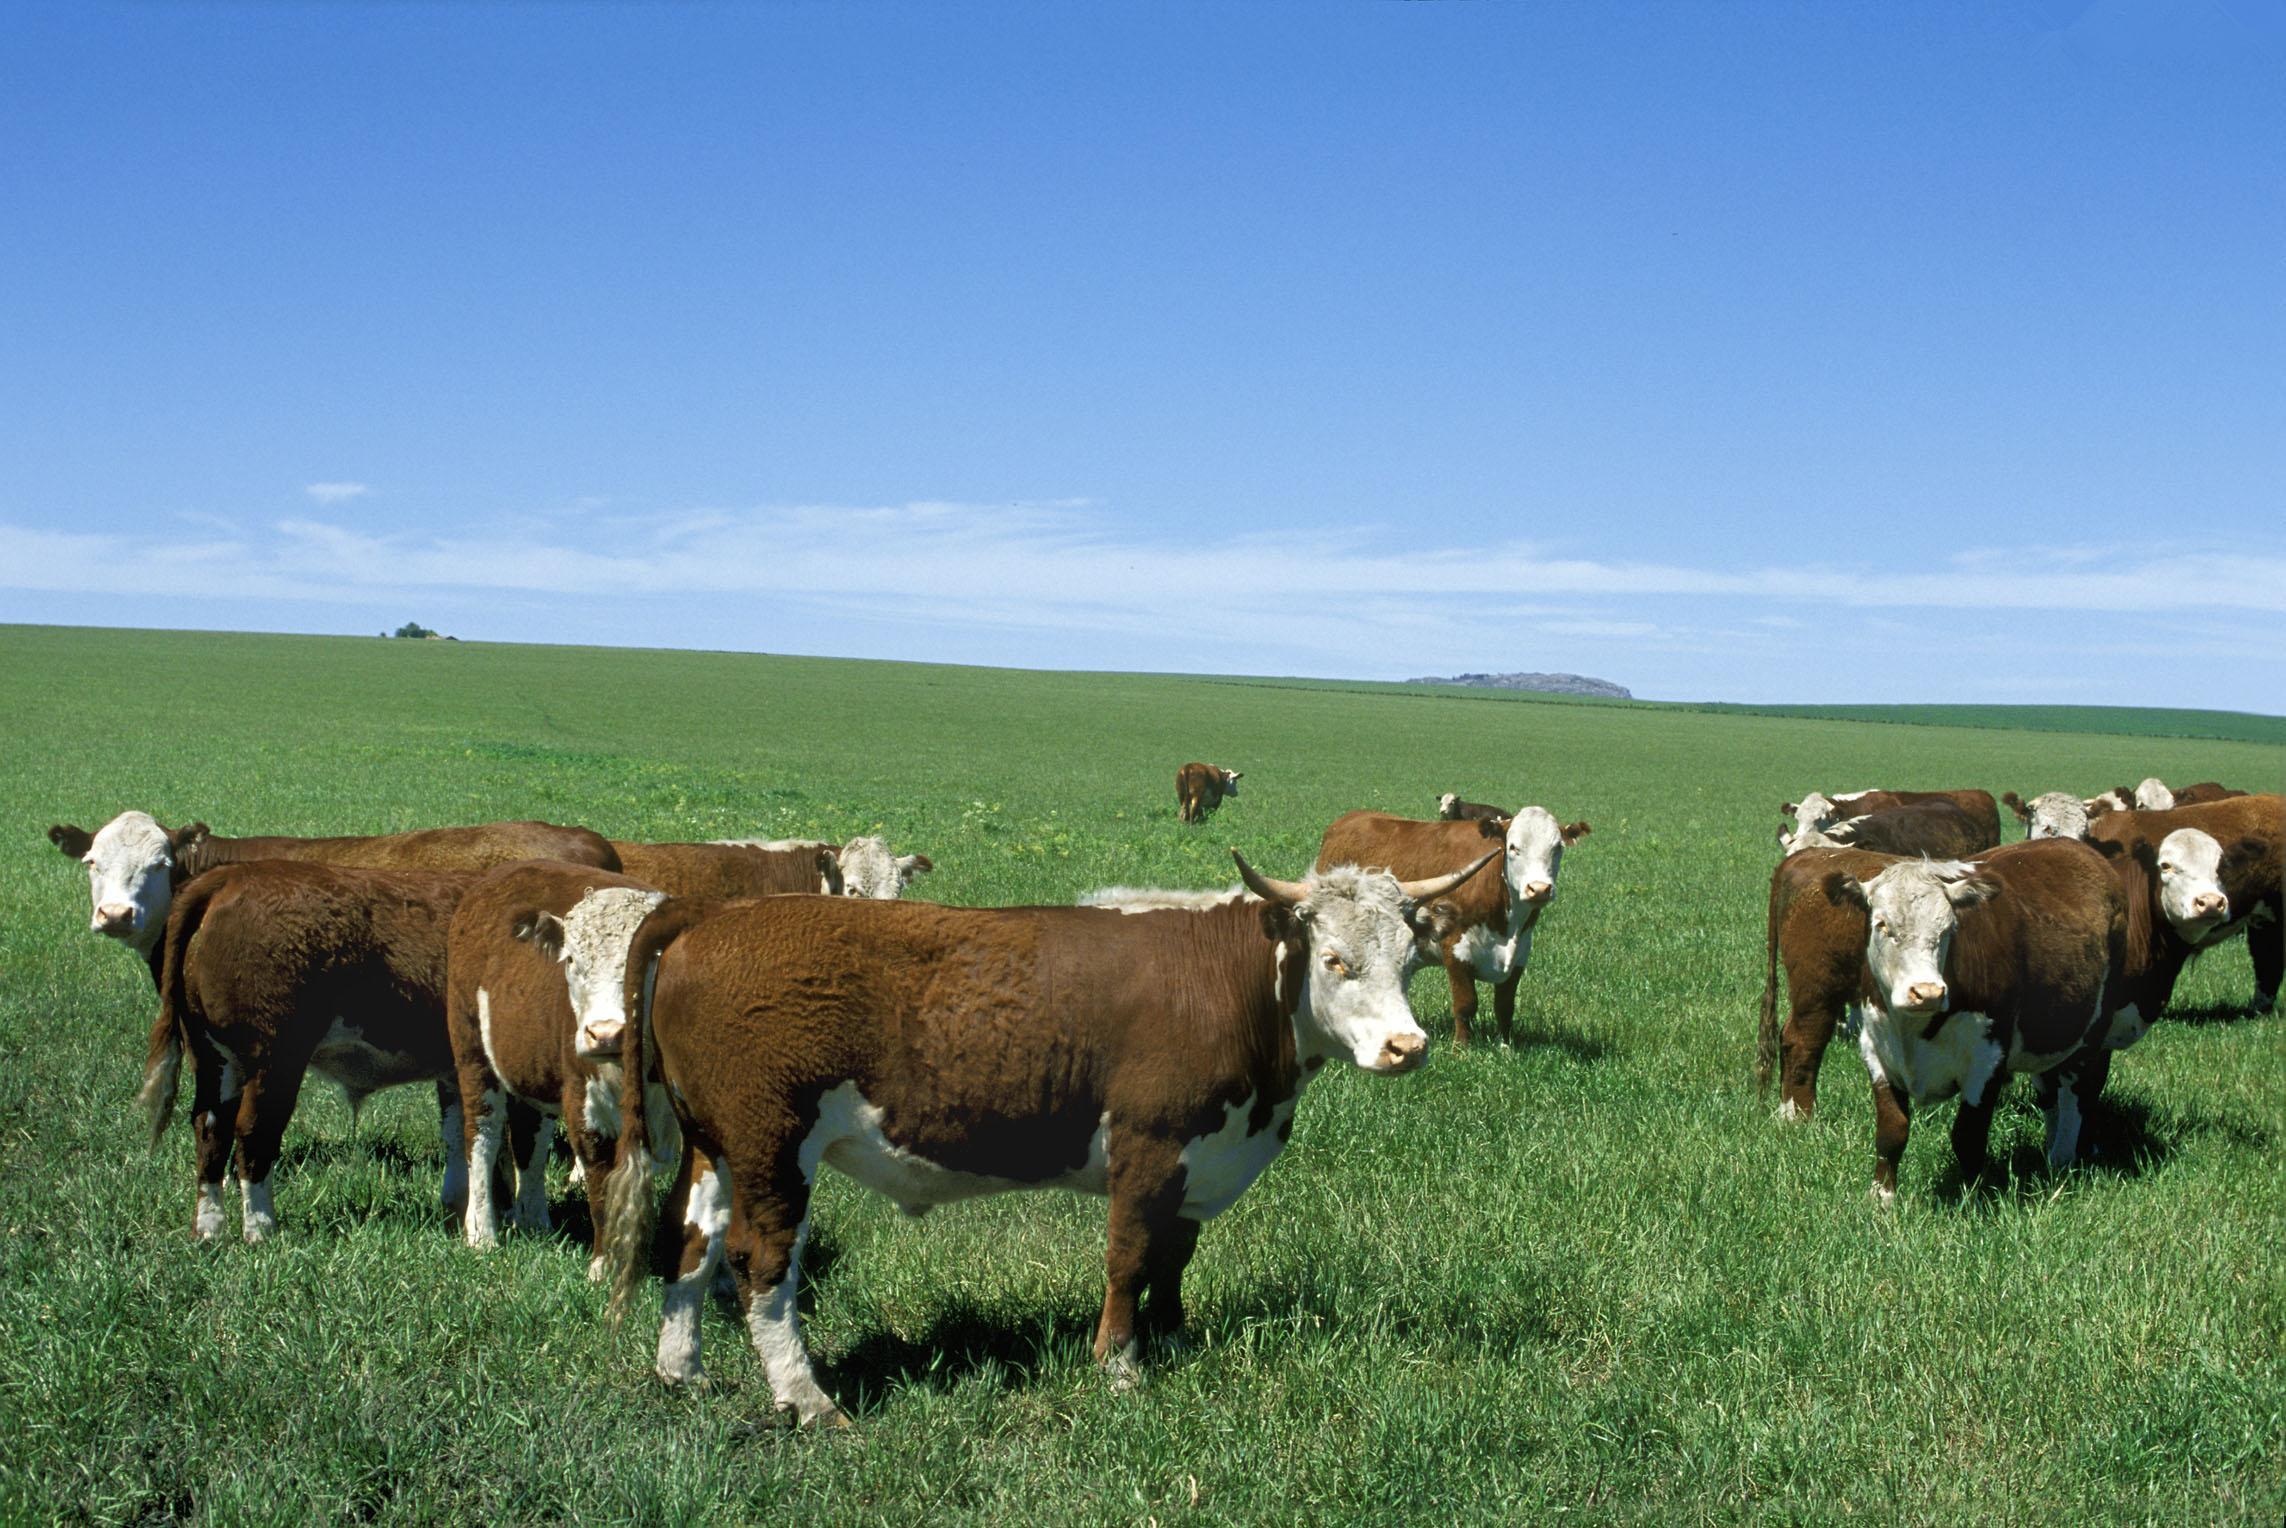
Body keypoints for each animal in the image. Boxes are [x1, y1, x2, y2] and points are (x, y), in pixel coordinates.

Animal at [139, 860, 477, 1244]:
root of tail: (231, 875)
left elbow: (457, 1136)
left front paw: (457, 1211)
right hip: (275, 1054)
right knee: (253, 1132)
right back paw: (261, 1229)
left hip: (211, 1054)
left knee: (210, 1127)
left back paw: (210, 1230)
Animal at [580, 846, 1499, 1418]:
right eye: (1337, 960)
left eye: (1409, 959)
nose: (1406, 1047)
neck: (1233, 986)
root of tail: (709, 917)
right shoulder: (1149, 1148)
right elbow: (1129, 1258)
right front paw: (1120, 1368)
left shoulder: (1200, 1158)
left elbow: (1172, 1261)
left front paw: (1172, 1341)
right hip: (773, 1144)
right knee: (760, 1262)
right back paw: (810, 1402)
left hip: (716, 1145)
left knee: (688, 1241)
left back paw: (681, 1371)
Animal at [1325, 805, 1591, 1043]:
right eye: (1513, 847)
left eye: (1557, 847)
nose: (1539, 889)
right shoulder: (1455, 948)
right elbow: (1466, 1004)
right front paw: (1462, 1048)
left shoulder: (1520, 954)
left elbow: (1505, 1006)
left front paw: (1506, 1046)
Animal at [1819, 841, 2121, 1198]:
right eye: (1882, 925)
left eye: (1948, 929)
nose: (1927, 992)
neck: (1911, 1030)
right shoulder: (1876, 1049)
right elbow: (1892, 1131)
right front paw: (1882, 1198)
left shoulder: (1989, 1057)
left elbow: (1968, 1136)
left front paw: (1974, 1196)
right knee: (2051, 1091)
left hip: (2096, 1034)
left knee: (2079, 1093)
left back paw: (2064, 1157)